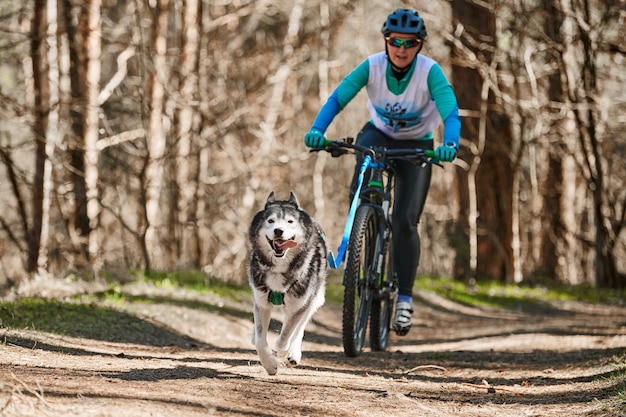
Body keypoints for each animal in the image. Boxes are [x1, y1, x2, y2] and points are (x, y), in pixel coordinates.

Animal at [247, 190, 330, 376]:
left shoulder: (299, 305)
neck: (280, 268)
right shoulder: (261, 303)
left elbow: (286, 335)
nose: (279, 231)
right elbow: (260, 341)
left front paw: (282, 351)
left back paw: (293, 353)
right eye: (270, 221)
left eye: (290, 222)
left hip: (313, 300)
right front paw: (269, 364)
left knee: (298, 329)